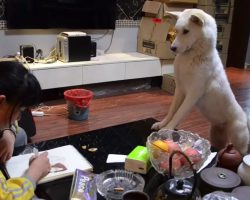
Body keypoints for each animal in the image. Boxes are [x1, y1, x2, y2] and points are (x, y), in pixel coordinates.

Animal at [151, 8, 249, 155]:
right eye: (177, 31)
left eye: (186, 31)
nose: (172, 48)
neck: (193, 56)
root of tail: (245, 117)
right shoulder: (179, 89)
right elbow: (172, 111)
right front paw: (162, 124)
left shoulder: (193, 95)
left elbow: (178, 114)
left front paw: (167, 128)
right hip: (216, 137)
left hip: (238, 137)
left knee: (244, 151)